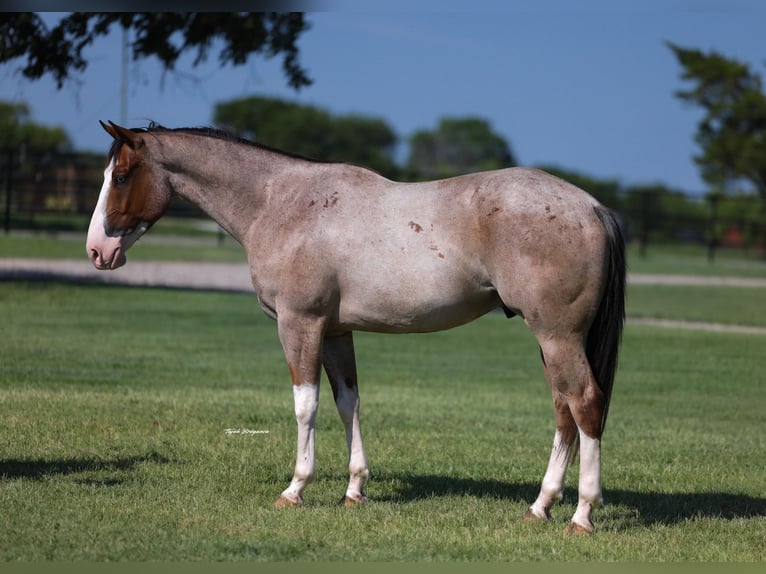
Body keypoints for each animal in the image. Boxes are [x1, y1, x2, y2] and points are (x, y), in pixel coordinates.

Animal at [86, 121, 625, 534]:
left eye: (122, 175)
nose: (97, 251)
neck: (280, 203)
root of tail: (591, 206)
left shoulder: (299, 325)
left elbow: (305, 406)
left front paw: (296, 489)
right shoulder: (335, 332)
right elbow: (349, 402)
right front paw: (354, 489)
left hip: (557, 337)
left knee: (585, 404)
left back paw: (582, 515)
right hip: (553, 342)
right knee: (564, 412)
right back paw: (541, 506)